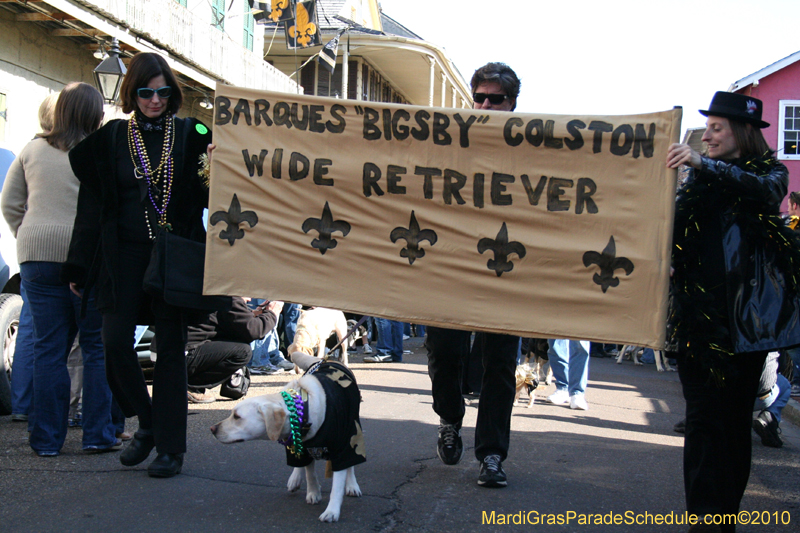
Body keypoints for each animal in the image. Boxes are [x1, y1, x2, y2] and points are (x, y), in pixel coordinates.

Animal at [209, 352, 366, 520]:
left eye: (237, 417)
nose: (212, 429)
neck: (305, 407)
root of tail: (326, 359)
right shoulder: (303, 445)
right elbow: (309, 473)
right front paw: (313, 492)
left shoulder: (343, 445)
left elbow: (338, 483)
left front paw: (331, 511)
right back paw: (295, 479)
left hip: (353, 430)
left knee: (351, 464)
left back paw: (352, 485)